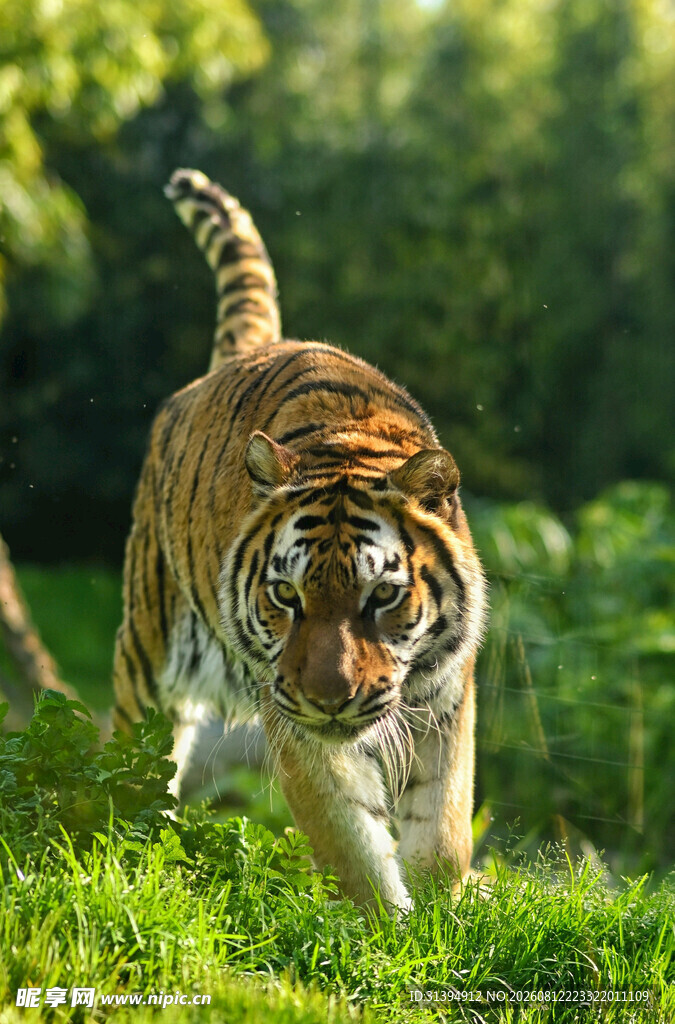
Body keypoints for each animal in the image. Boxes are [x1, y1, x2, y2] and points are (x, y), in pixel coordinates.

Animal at [113, 168, 487, 911]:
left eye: (381, 597)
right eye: (286, 596)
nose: (328, 697)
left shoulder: (447, 693)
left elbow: (444, 822)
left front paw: (443, 909)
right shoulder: (293, 715)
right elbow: (347, 832)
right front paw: (387, 924)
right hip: (149, 647)